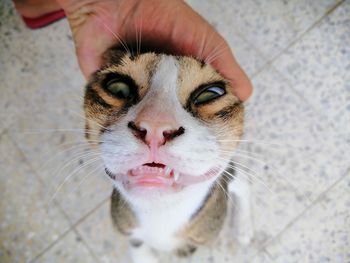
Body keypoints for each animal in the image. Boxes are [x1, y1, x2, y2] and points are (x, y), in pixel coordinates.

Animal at [85, 46, 254, 262]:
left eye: (210, 94)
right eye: (117, 88)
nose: (155, 124)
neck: (160, 217)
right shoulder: (127, 228)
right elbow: (138, 246)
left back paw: (243, 228)